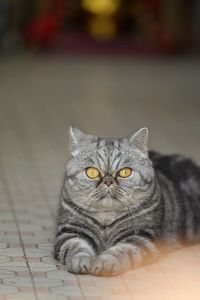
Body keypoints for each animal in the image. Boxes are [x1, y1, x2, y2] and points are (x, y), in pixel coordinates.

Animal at [53, 126, 200, 276]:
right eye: (92, 172)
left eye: (125, 172)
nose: (108, 181)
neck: (106, 219)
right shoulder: (71, 231)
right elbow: (77, 248)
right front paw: (82, 261)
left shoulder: (141, 236)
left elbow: (120, 251)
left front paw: (104, 263)